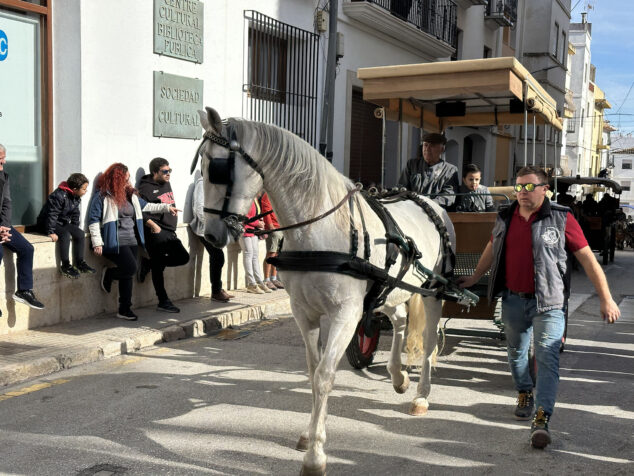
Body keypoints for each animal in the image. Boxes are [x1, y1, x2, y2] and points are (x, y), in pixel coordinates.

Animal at [196, 108, 454, 476]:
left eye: (215, 168)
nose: (211, 235)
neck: (319, 230)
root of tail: (430, 201)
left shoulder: (346, 314)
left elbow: (324, 376)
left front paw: (315, 456)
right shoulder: (306, 313)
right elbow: (313, 370)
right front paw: (312, 433)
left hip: (434, 291)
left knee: (430, 340)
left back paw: (421, 395)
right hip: (389, 289)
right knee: (400, 319)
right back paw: (397, 376)